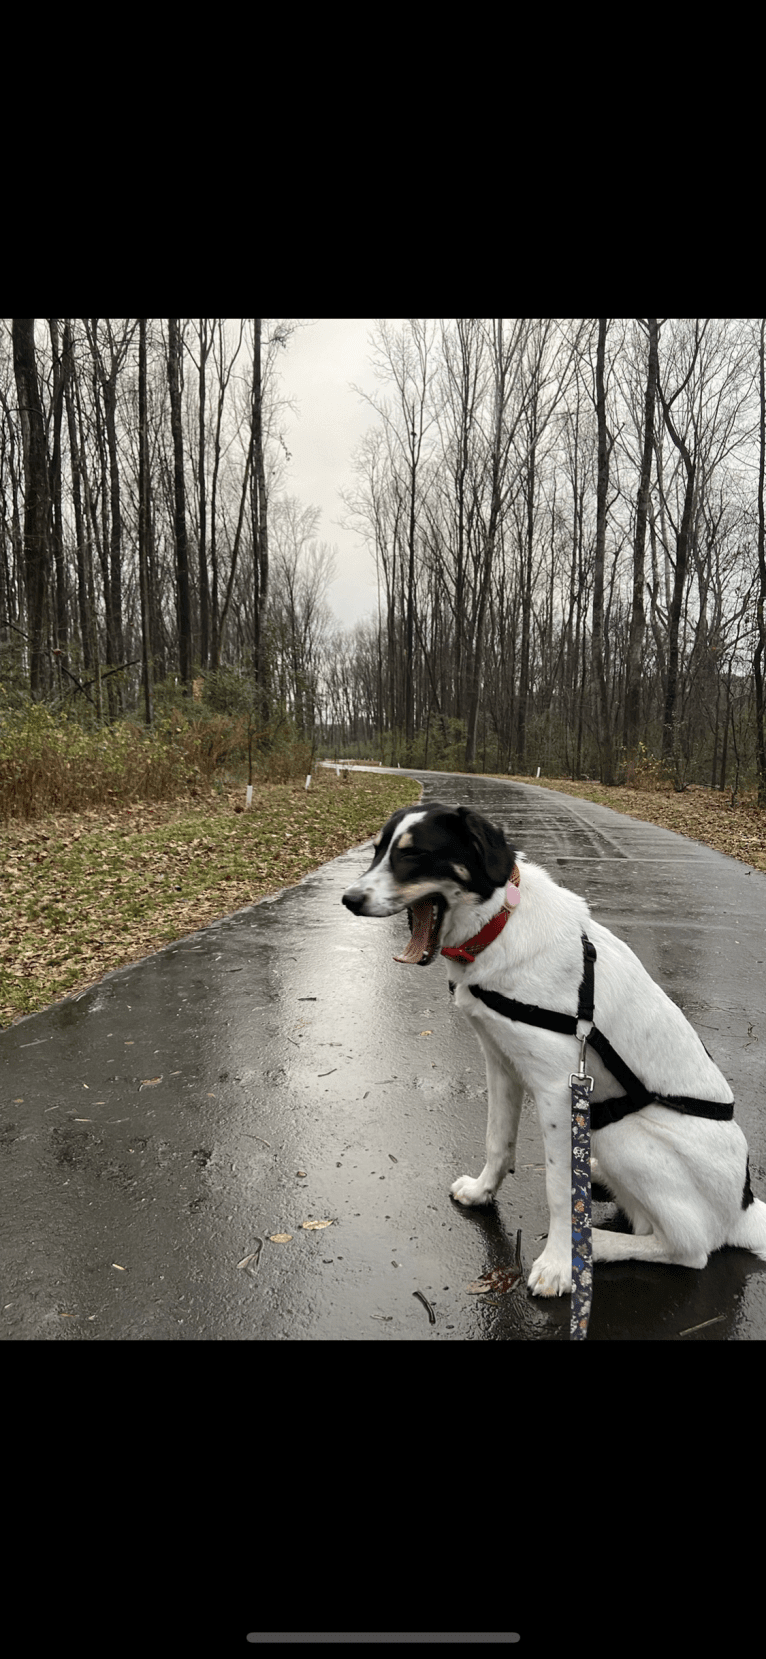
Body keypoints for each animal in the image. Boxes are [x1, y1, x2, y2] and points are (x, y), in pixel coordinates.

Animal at [343, 802, 766, 1294]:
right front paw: (483, 1191)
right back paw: (596, 1179)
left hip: (622, 1134)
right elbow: (497, 1142)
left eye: (414, 854)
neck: (498, 926)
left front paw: (561, 1264)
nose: (348, 900)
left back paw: (596, 1246)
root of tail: (744, 1207)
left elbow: (559, 1189)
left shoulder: (557, 1090)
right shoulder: (500, 1064)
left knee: (688, 1249)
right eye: (377, 851)